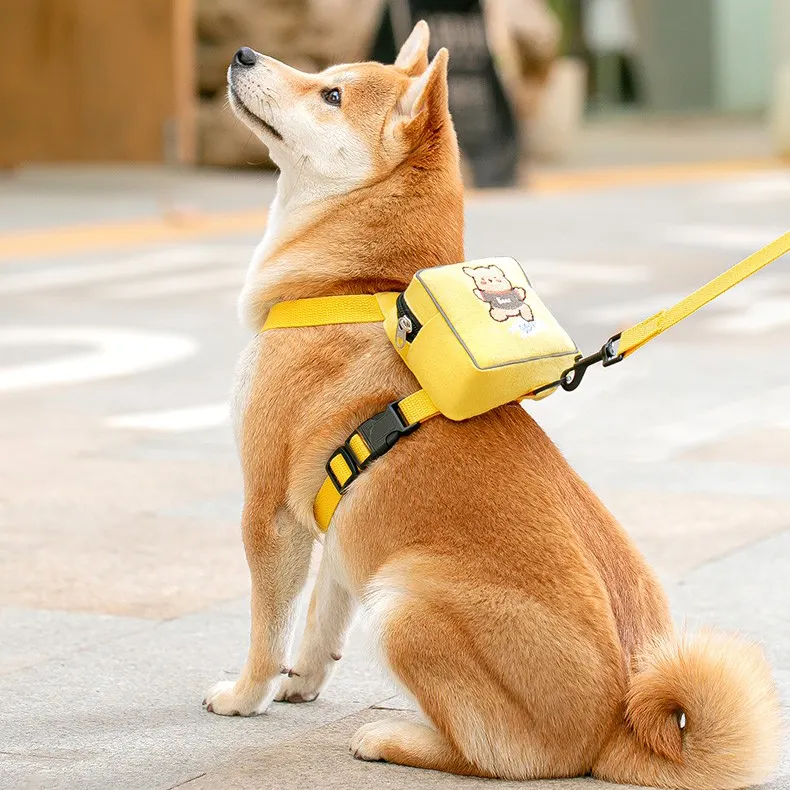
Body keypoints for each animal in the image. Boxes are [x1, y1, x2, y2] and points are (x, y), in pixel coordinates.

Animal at [204, 21, 780, 788]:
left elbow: (267, 632)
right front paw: (302, 681)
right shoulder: (345, 526)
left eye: (330, 94)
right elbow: (322, 622)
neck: (356, 284)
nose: (242, 53)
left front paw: (248, 695)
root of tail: (618, 725)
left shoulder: (270, 514)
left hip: (404, 603)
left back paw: (396, 738)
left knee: (500, 756)